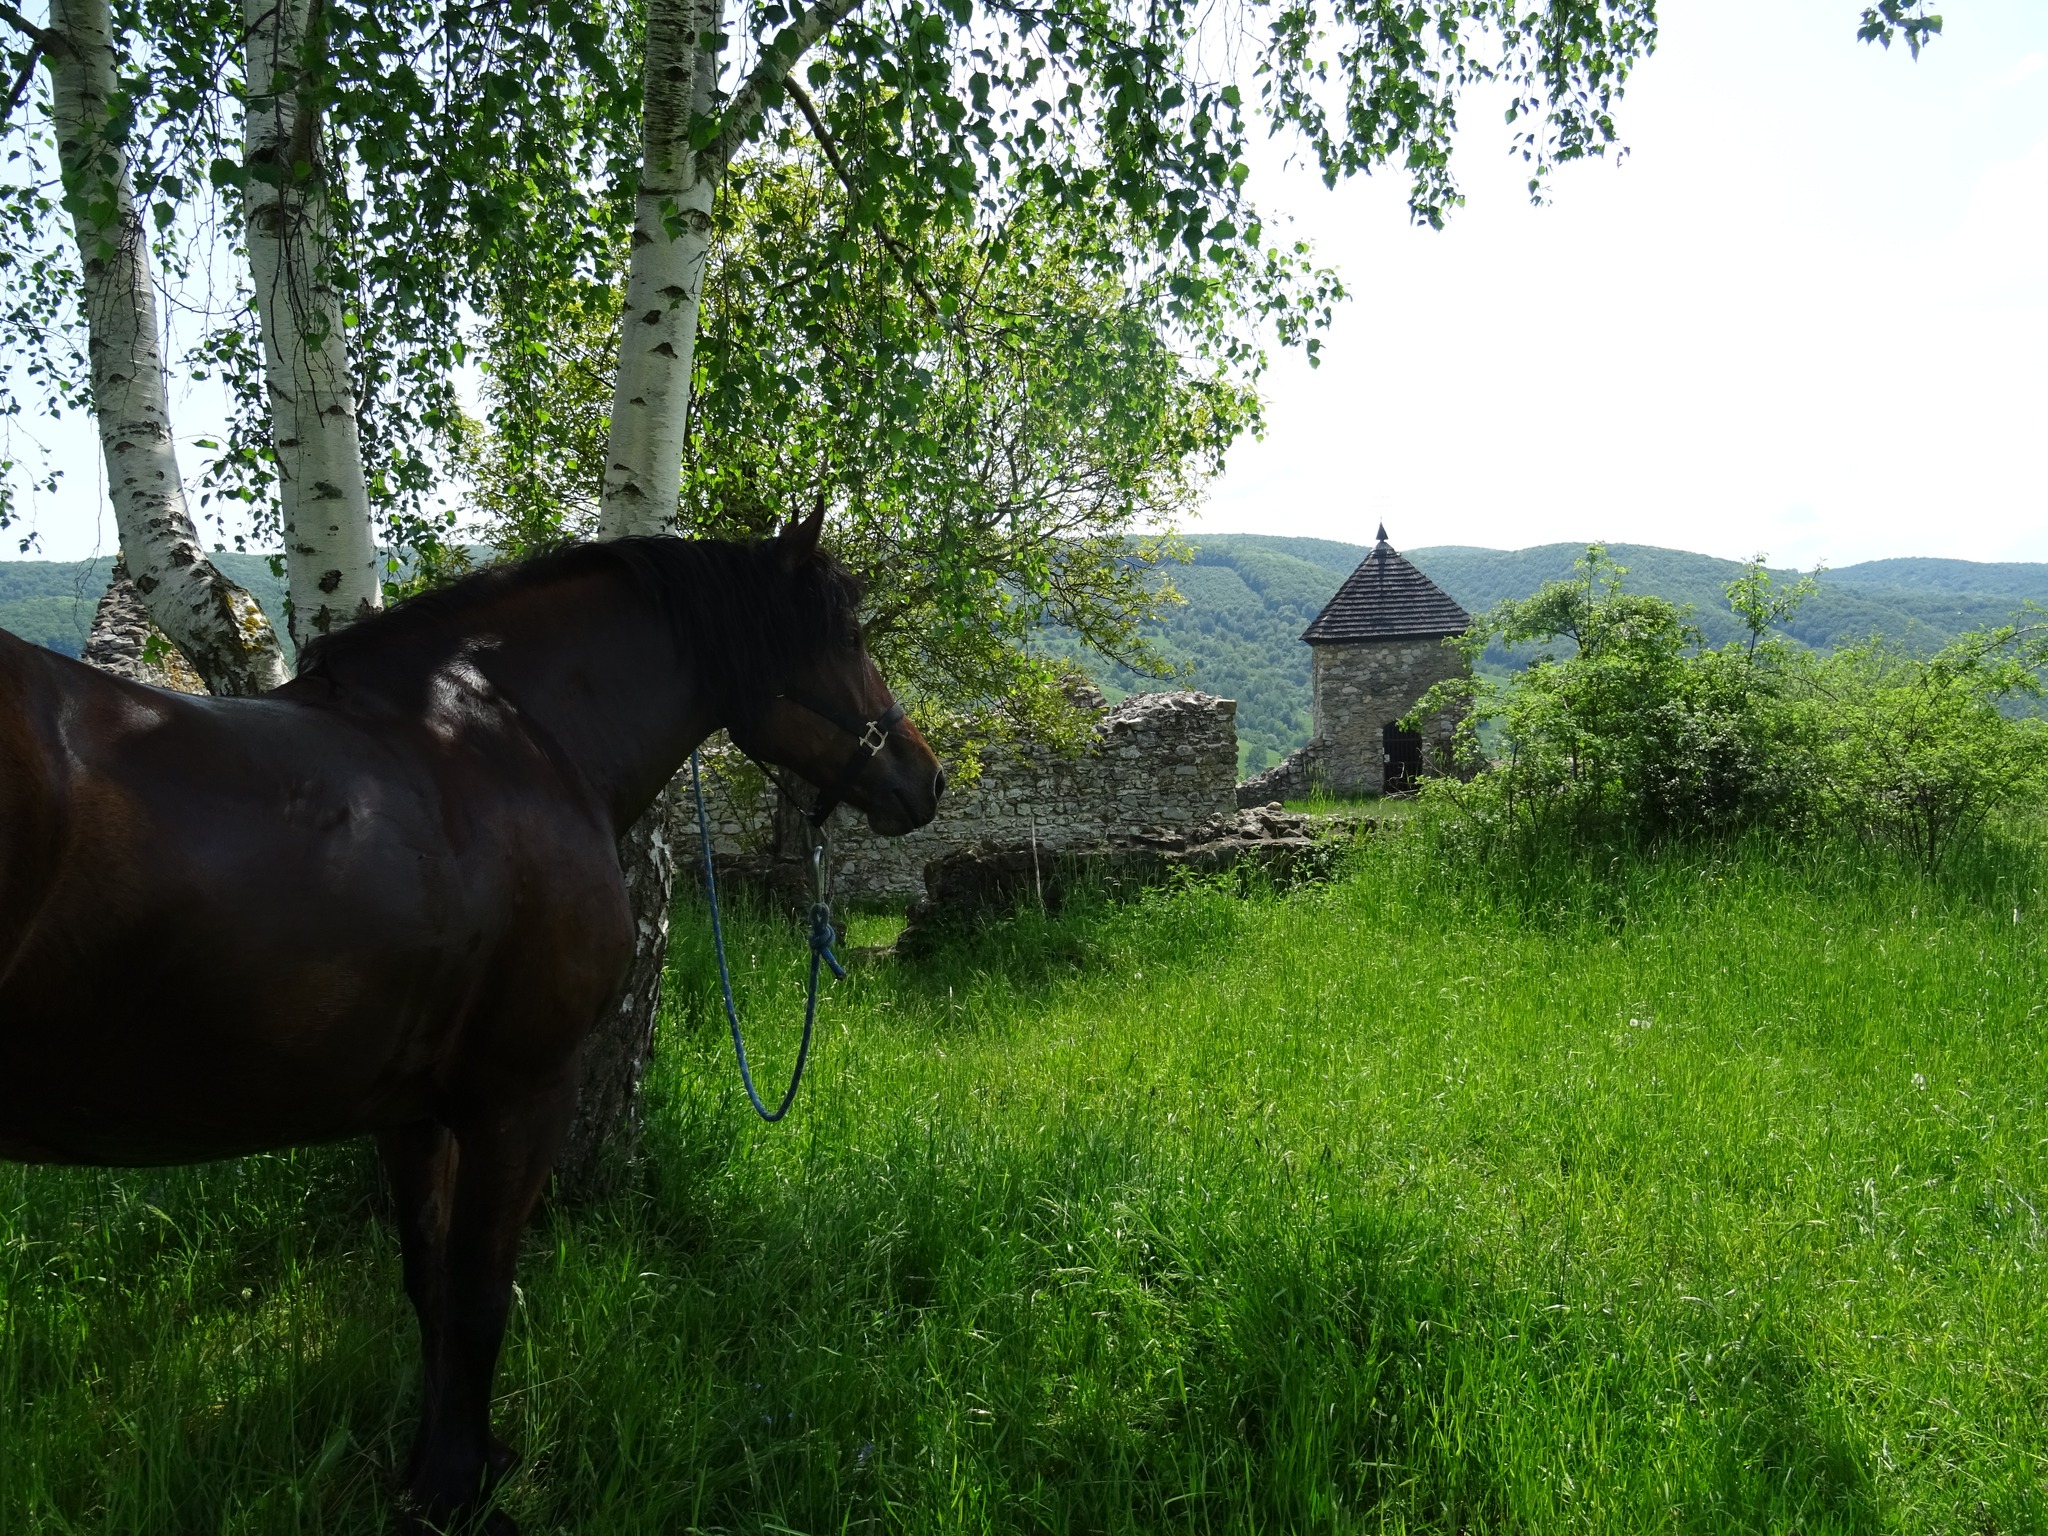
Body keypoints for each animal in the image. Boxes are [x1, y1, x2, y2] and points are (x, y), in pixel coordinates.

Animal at [0, 514, 942, 1531]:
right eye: (849, 636)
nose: (926, 779)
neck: (506, 746)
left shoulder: (410, 1110)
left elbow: (429, 1283)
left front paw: (436, 1463)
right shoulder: (521, 1096)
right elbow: (482, 1292)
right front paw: (461, 1487)